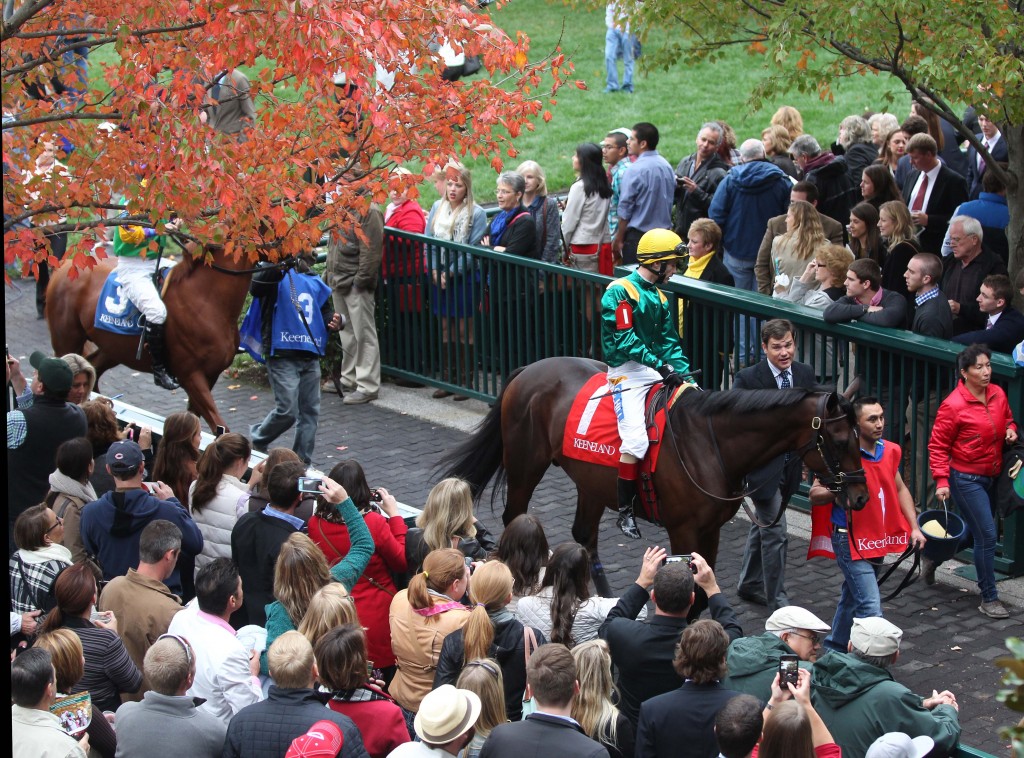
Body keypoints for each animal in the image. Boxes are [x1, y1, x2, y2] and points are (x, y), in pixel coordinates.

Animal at [45, 243, 256, 432]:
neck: (206, 301)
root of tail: (67, 264)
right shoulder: (190, 375)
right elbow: (220, 426)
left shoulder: (210, 375)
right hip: (67, 342)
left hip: (114, 349)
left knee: (93, 370)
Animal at [436, 356, 868, 598]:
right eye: (839, 439)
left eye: (862, 435)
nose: (861, 496)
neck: (710, 441)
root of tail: (529, 368)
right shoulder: (683, 529)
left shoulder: (710, 530)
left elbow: (705, 583)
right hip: (526, 464)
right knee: (515, 517)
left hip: (592, 482)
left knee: (584, 536)